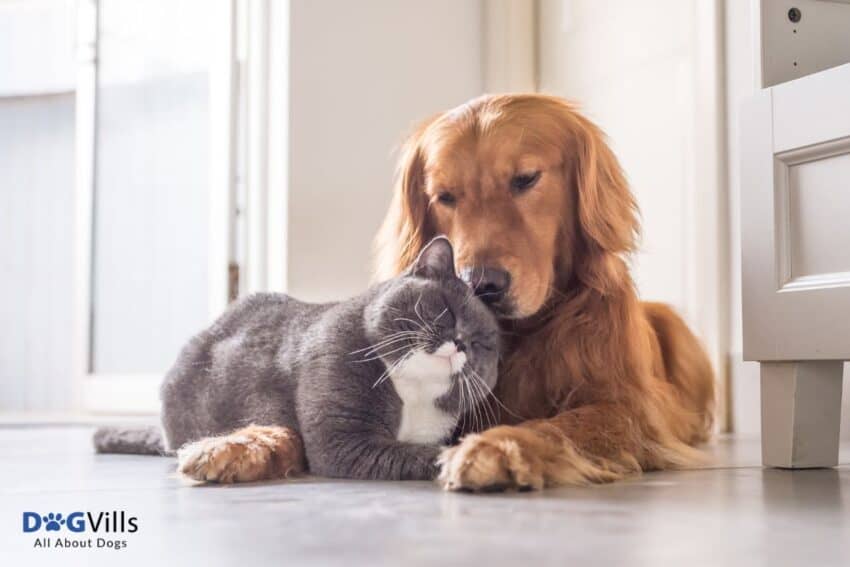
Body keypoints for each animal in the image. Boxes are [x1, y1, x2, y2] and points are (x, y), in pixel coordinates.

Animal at [93, 237, 500, 482]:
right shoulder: (343, 440)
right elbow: (420, 453)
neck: (412, 393)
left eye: (483, 344)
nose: (460, 343)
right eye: (446, 310)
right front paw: (464, 459)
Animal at [374, 94, 712, 492]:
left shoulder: (628, 408)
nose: (481, 284)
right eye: (444, 196)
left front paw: (496, 447)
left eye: (525, 179)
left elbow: (559, 425)